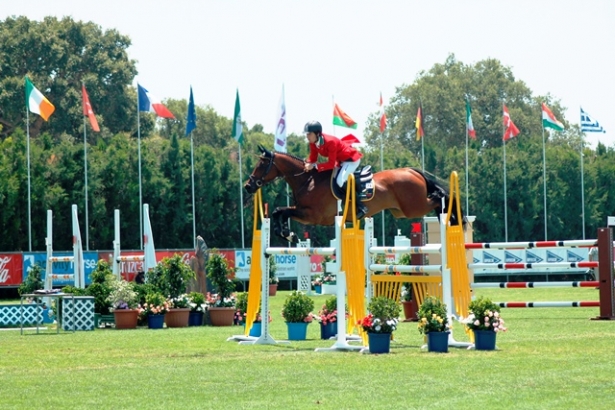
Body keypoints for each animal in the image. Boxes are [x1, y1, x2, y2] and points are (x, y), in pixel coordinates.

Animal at [243, 145, 464, 243]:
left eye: (261, 164)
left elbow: (282, 211)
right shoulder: (304, 213)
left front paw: (287, 233)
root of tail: (411, 171)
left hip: (413, 207)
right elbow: (278, 211)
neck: (308, 180)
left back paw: (449, 218)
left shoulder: (312, 215)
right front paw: (286, 234)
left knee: (438, 198)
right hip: (401, 211)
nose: (248, 186)